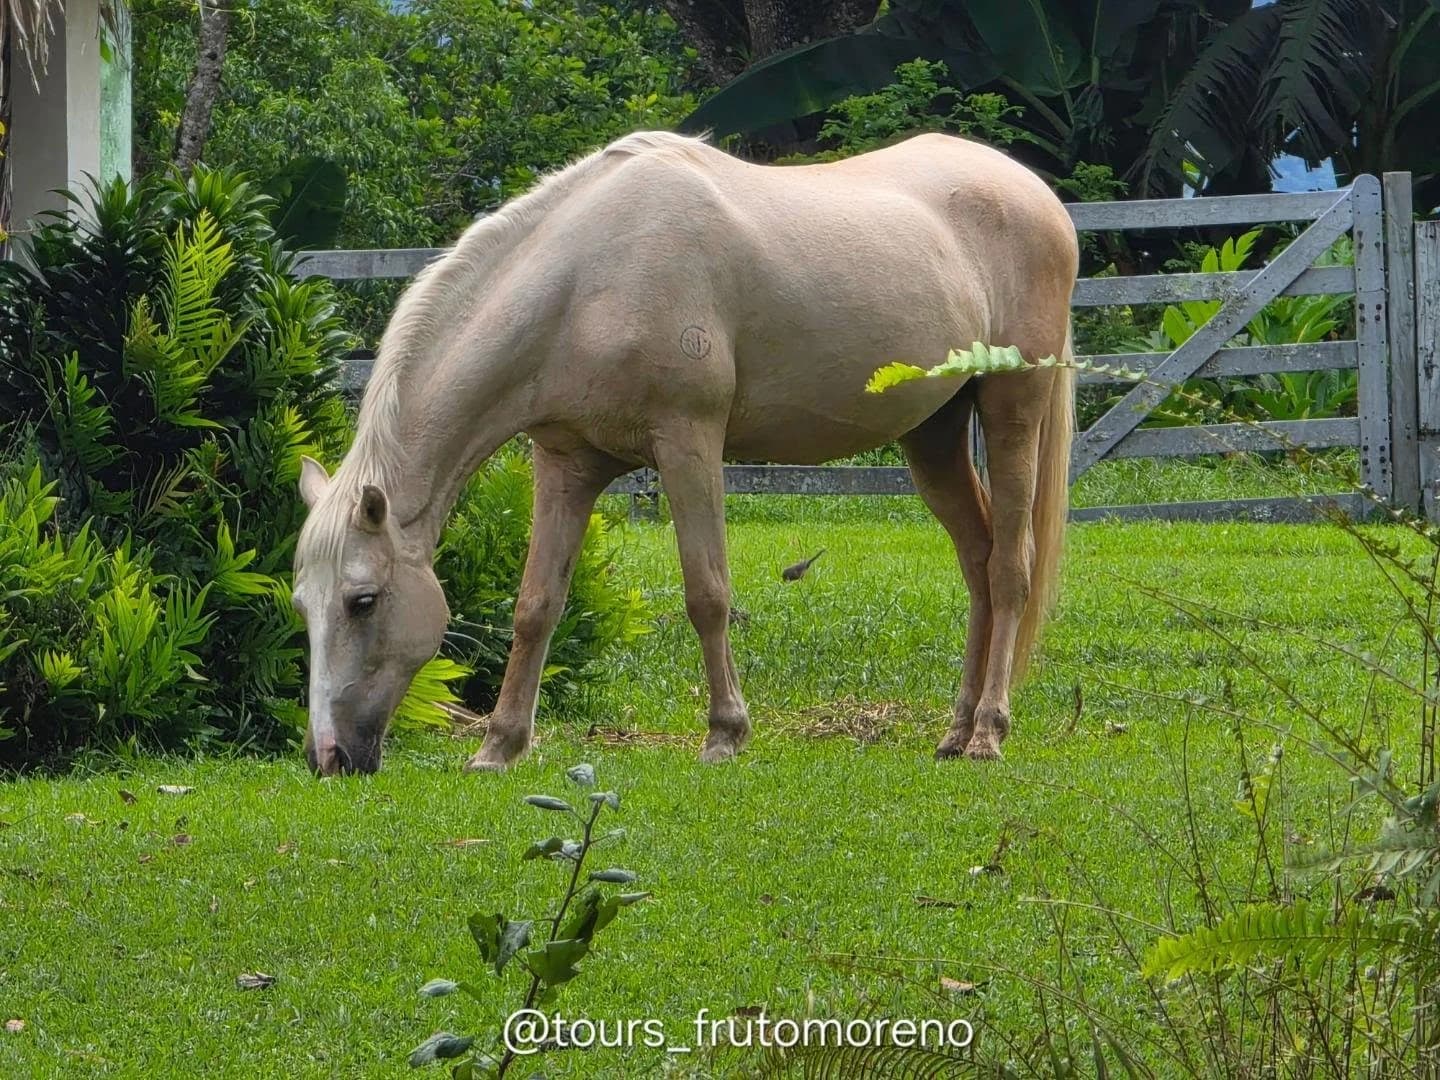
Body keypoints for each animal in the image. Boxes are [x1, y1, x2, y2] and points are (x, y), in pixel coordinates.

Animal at [291, 129, 1078, 777]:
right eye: (303, 604)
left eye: (363, 601)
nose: (328, 758)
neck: (587, 279)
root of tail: (1040, 198)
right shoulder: (565, 463)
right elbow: (537, 604)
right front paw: (500, 746)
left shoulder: (688, 442)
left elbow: (707, 593)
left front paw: (726, 733)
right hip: (934, 434)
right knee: (977, 566)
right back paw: (955, 731)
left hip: (1012, 409)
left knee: (1009, 568)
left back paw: (989, 732)